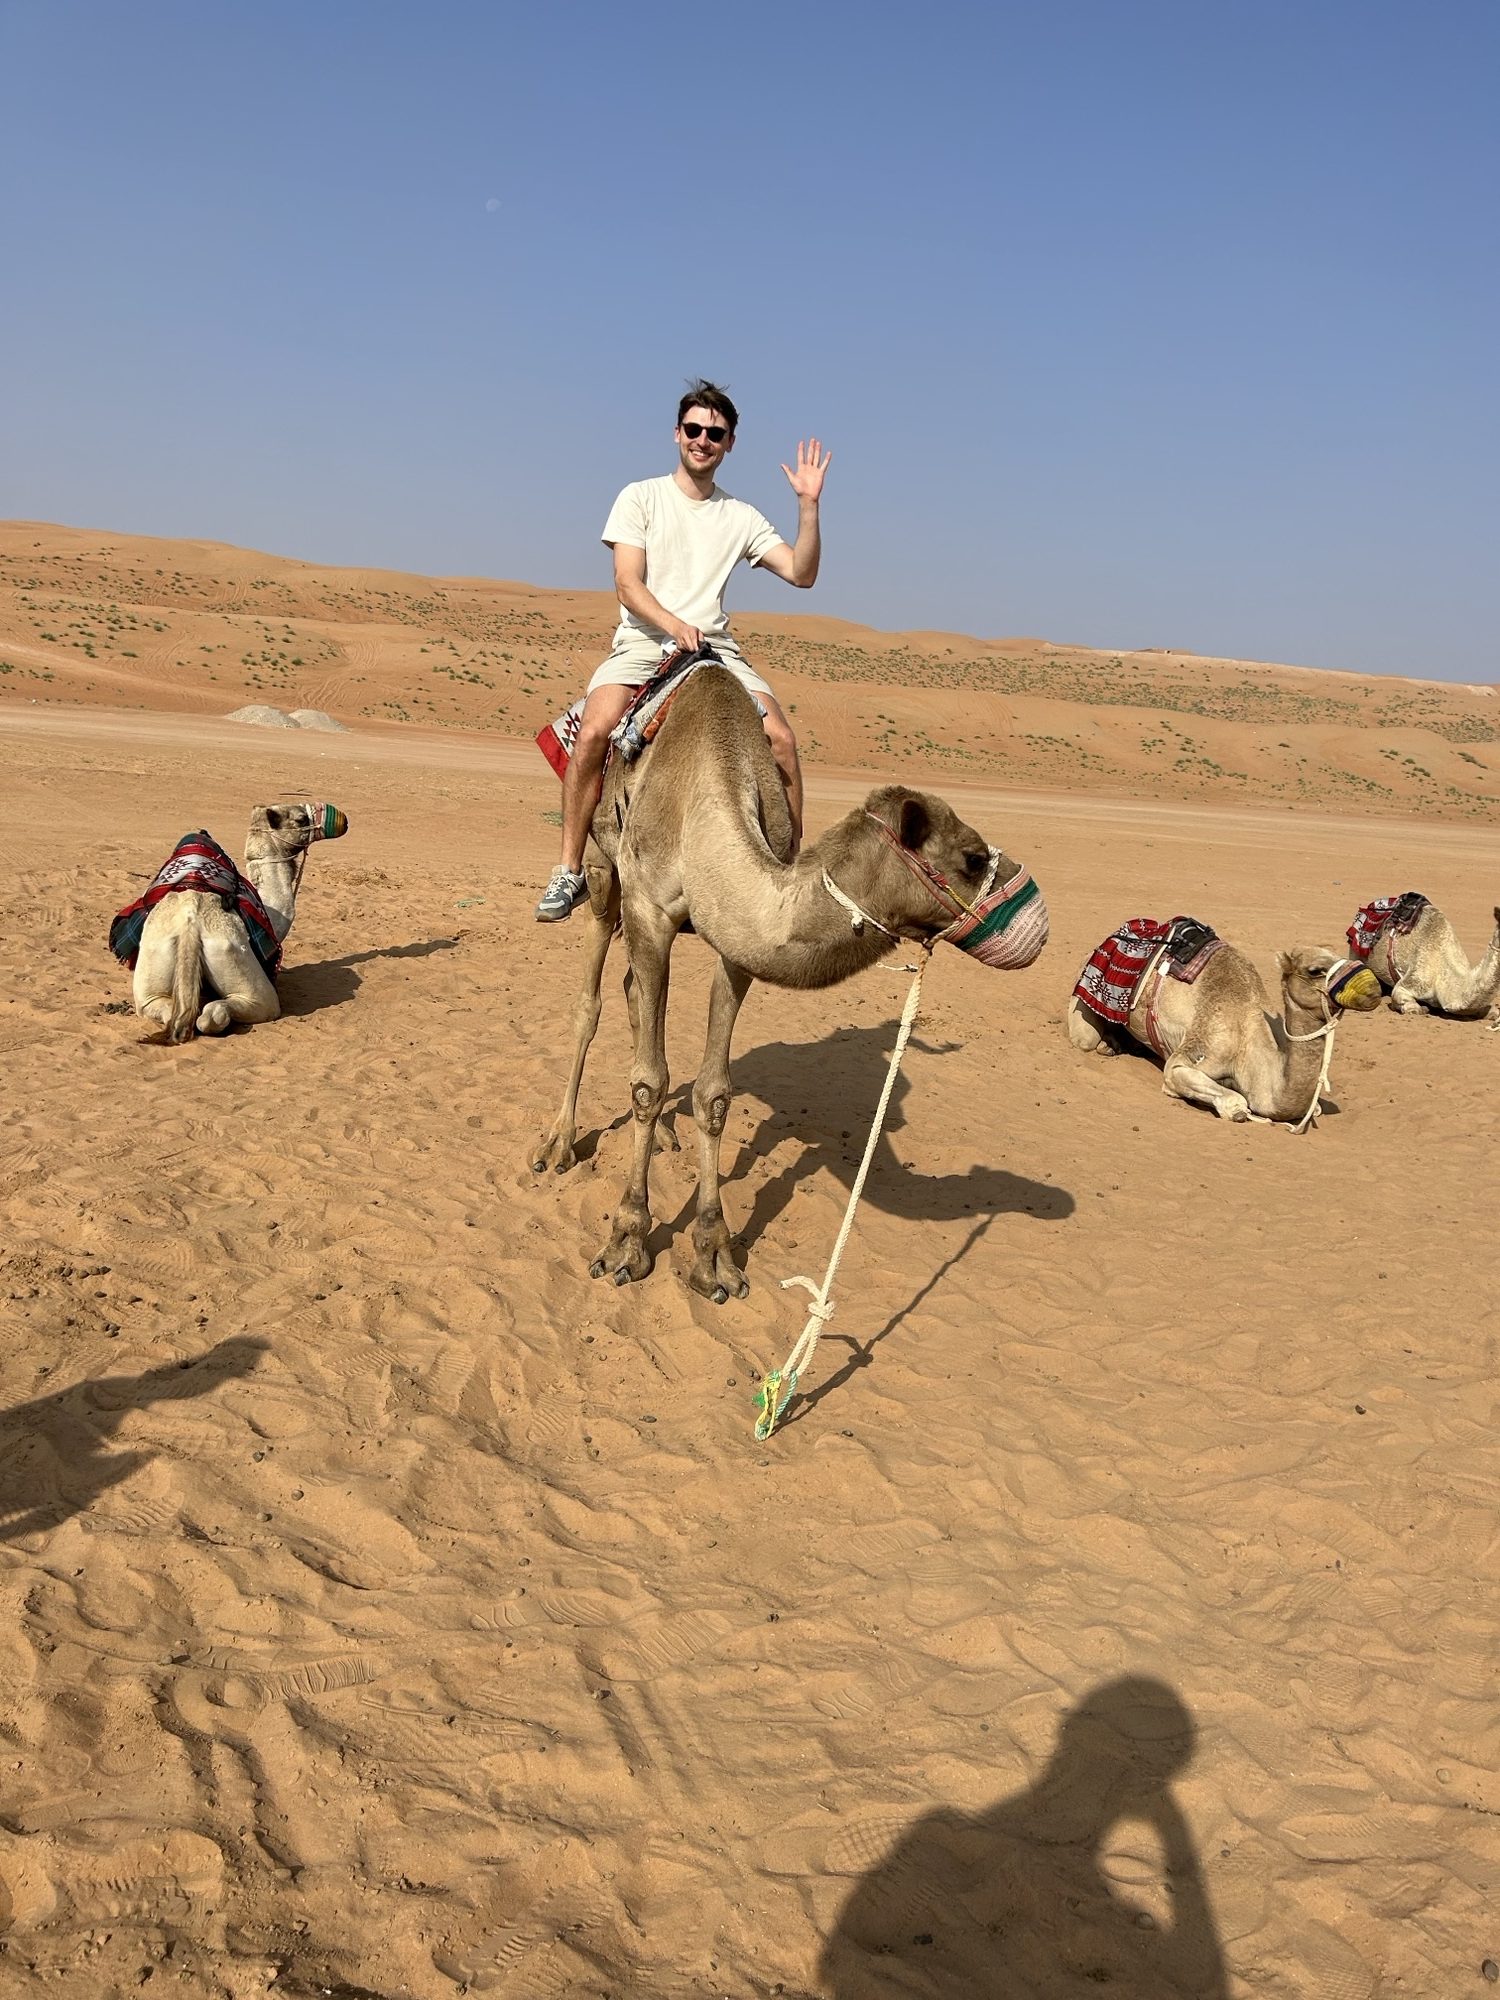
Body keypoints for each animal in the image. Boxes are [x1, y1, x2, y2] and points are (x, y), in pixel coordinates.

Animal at [117, 802, 348, 1041]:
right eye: (301, 818)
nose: (343, 819)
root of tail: (190, 925)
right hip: (243, 971)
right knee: (215, 1014)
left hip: (150, 977)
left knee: (166, 1009)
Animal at [532, 665, 1047, 1300]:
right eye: (973, 858)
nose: (1038, 916)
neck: (704, 806)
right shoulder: (648, 907)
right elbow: (649, 1082)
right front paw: (627, 1241)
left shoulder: (736, 943)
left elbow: (713, 1093)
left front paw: (714, 1257)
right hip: (606, 872)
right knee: (592, 998)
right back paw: (558, 1142)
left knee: (632, 992)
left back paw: (664, 1139)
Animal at [1066, 925, 1381, 1125]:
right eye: (1315, 970)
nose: (1374, 989)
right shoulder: (1186, 1060)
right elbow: (1235, 1104)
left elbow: (1313, 1109)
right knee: (1086, 1039)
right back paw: (1106, 1045)